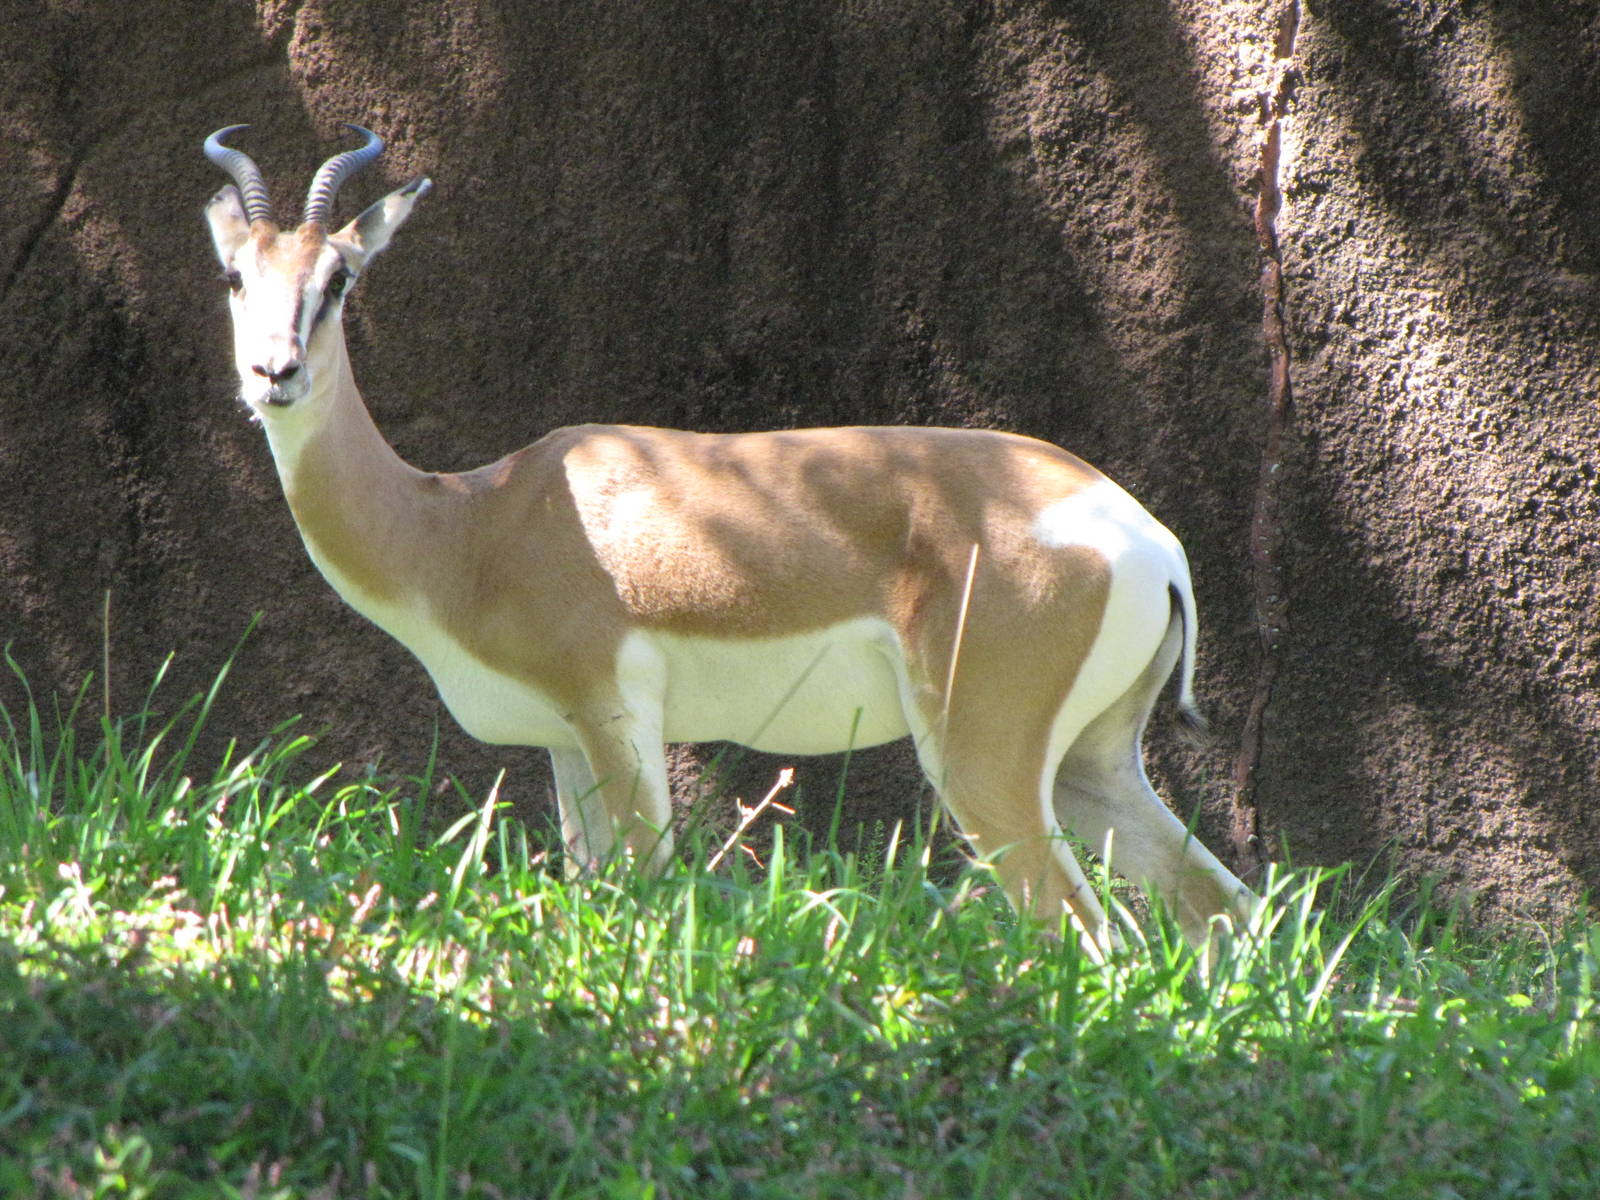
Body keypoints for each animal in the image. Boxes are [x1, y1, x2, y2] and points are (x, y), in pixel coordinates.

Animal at [203, 124, 1252, 949]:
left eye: (339, 278)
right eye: (235, 275)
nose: (274, 374)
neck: (473, 521)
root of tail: (1147, 537)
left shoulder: (616, 718)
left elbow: (648, 892)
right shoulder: (563, 744)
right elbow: (591, 893)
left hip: (981, 761)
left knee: (1085, 929)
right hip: (1091, 765)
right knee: (1220, 908)